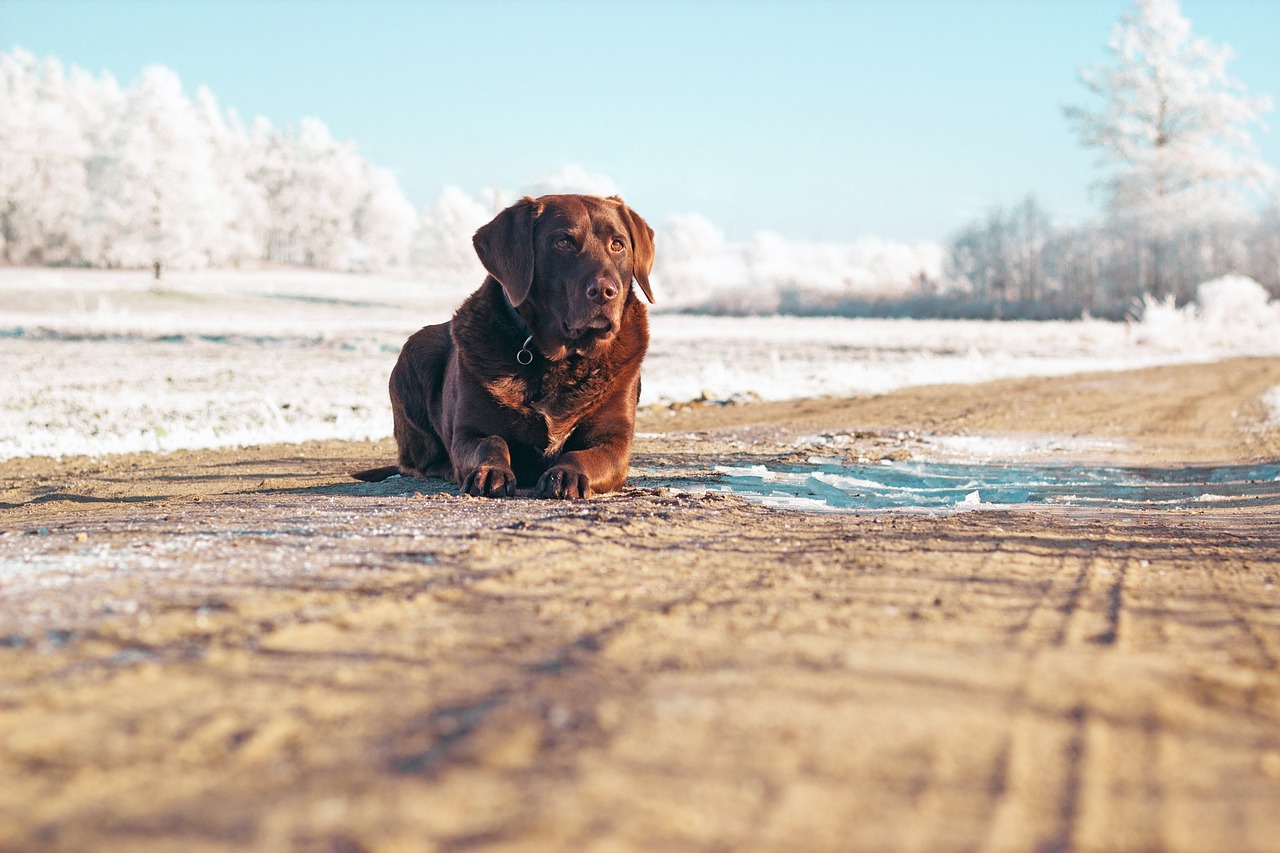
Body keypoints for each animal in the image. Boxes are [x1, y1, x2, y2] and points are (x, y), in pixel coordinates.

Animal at [353, 190, 655, 499]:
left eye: (617, 244)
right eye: (563, 242)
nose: (605, 291)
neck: (559, 360)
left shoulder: (614, 441)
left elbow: (583, 454)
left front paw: (565, 474)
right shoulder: (468, 432)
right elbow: (492, 441)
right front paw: (490, 471)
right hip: (415, 351)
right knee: (419, 463)